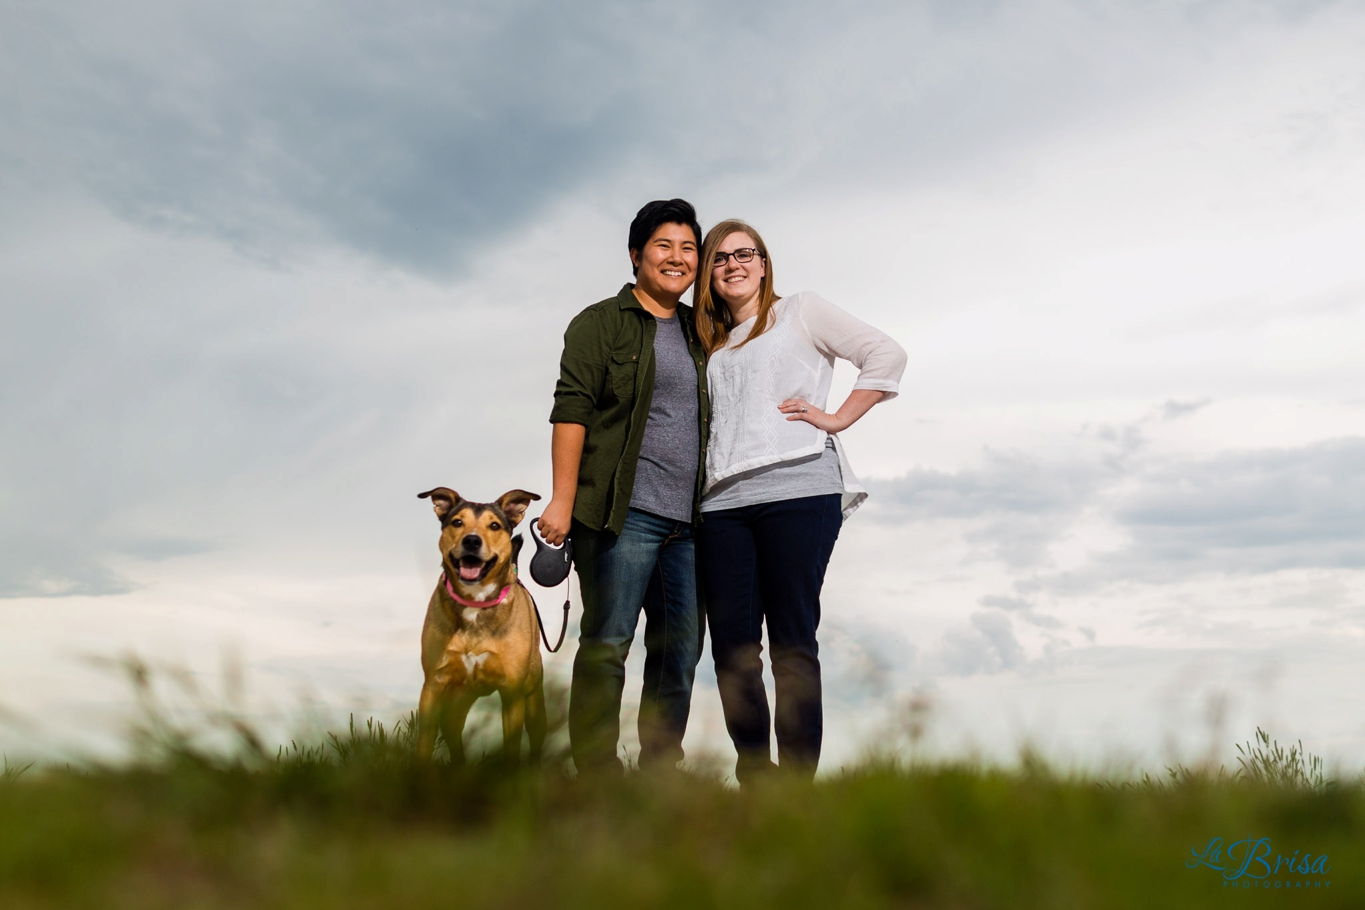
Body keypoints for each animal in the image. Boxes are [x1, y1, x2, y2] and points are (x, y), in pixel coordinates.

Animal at [414, 488, 543, 764]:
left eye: (494, 526)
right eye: (457, 522)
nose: (471, 541)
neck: (475, 603)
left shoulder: (512, 692)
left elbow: (512, 748)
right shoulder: (433, 685)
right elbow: (424, 745)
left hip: (533, 697)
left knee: (537, 737)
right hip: (457, 699)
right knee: (453, 732)